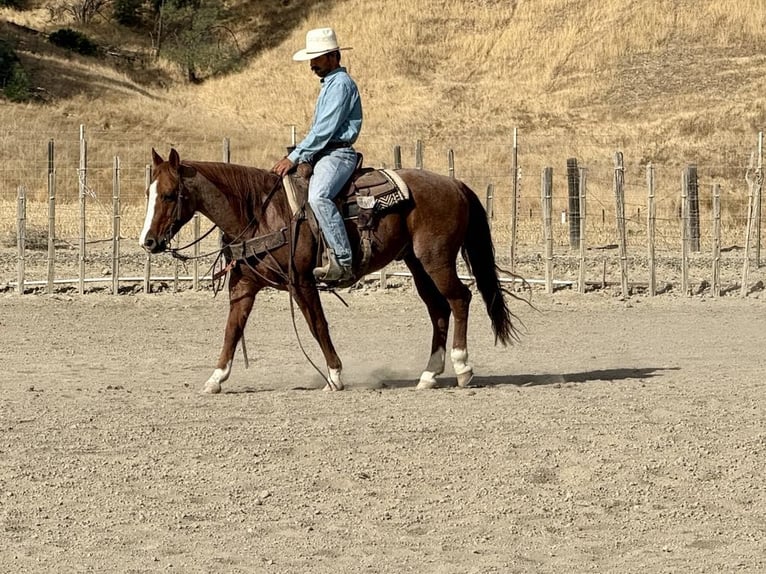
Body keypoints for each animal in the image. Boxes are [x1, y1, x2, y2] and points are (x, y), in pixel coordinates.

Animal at [140, 148, 523, 393]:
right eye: (149, 192)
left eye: (170, 195)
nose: (148, 241)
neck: (260, 211)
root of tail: (454, 184)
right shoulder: (244, 286)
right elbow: (232, 331)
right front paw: (216, 379)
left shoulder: (302, 282)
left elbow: (318, 326)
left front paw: (335, 376)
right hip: (416, 264)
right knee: (438, 309)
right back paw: (429, 375)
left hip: (437, 259)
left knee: (460, 299)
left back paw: (462, 368)